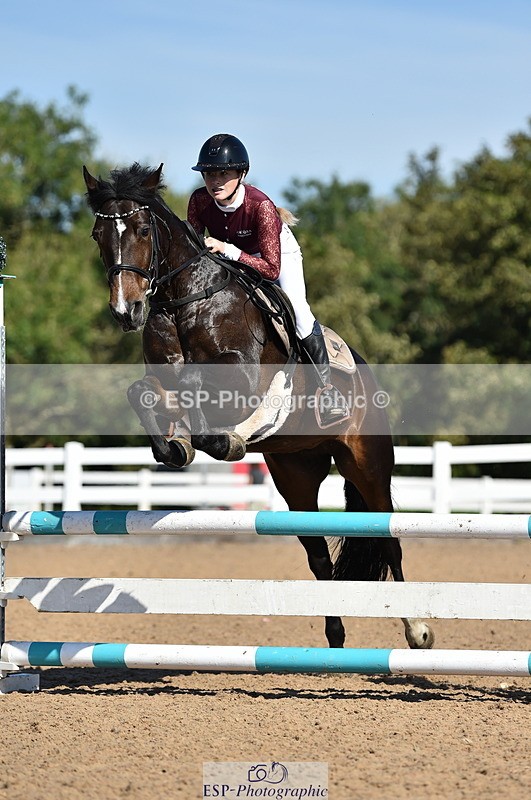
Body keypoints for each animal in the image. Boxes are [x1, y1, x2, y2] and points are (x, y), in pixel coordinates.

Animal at [83, 162, 434, 651]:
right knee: (320, 558)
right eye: (98, 234)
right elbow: (145, 391)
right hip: (295, 474)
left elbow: (196, 384)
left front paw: (214, 440)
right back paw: (335, 637)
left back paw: (417, 630)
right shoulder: (162, 374)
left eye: (141, 229)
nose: (125, 311)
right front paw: (176, 447)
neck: (185, 300)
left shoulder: (243, 377)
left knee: (388, 541)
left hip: (367, 464)